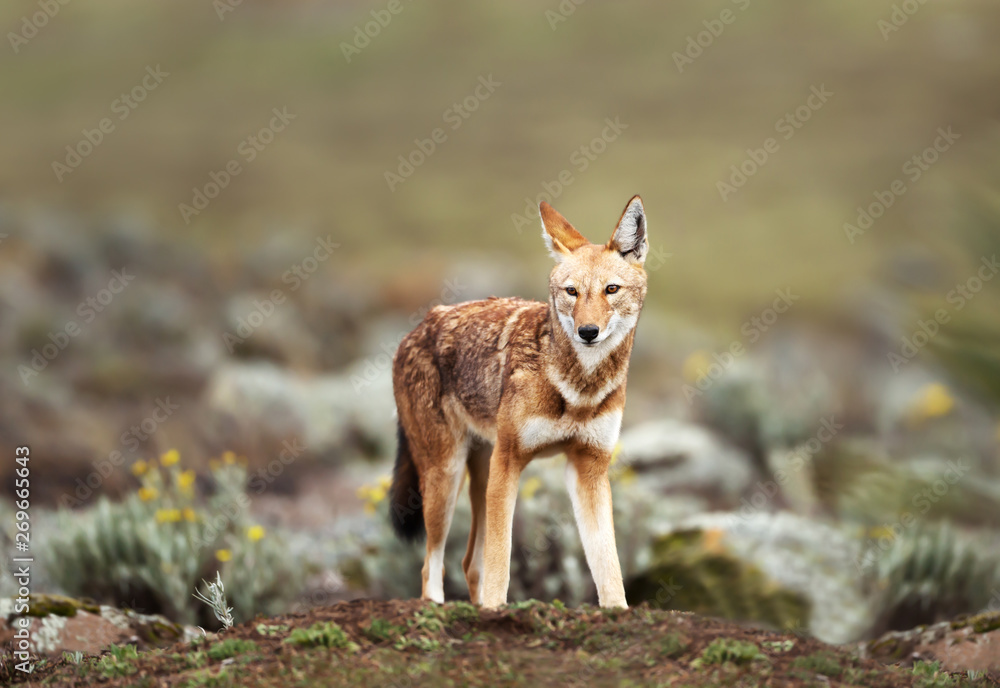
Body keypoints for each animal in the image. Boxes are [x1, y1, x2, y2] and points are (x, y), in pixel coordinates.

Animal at [389, 195, 648, 609]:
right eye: (572, 292)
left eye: (611, 289)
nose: (587, 331)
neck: (577, 389)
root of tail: (416, 329)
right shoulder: (509, 462)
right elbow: (501, 560)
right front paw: (497, 611)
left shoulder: (589, 469)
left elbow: (609, 568)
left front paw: (617, 613)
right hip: (447, 478)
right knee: (433, 566)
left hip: (479, 474)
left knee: (468, 564)